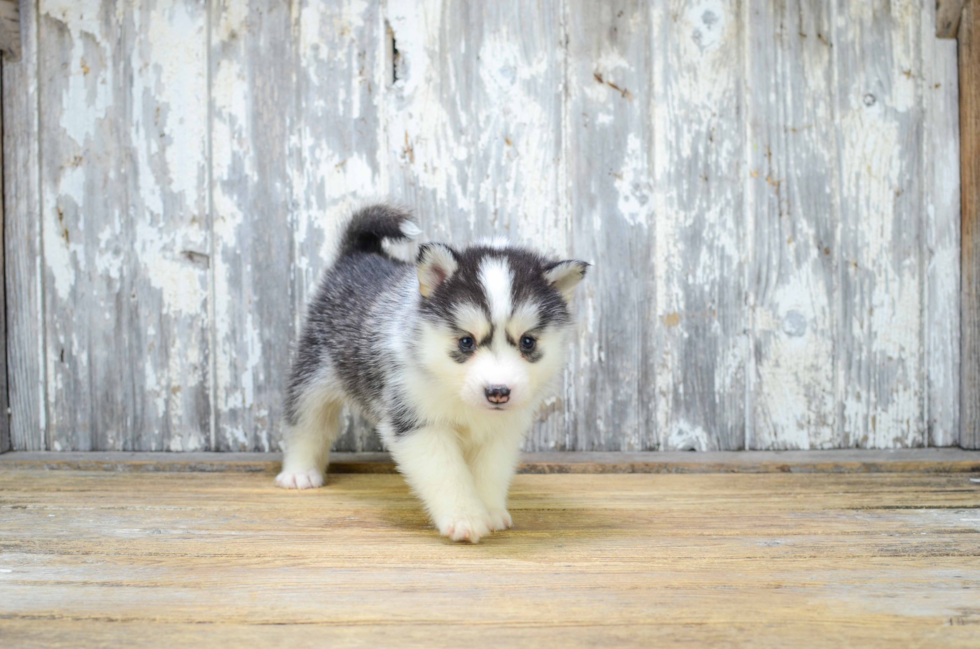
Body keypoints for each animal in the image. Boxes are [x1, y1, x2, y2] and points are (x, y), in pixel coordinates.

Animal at [274, 205, 588, 540]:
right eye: (466, 341)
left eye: (528, 342)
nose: (498, 393)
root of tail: (360, 254)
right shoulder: (417, 422)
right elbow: (447, 473)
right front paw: (465, 517)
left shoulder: (500, 432)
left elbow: (489, 472)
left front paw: (489, 511)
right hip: (314, 373)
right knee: (307, 423)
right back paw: (300, 472)